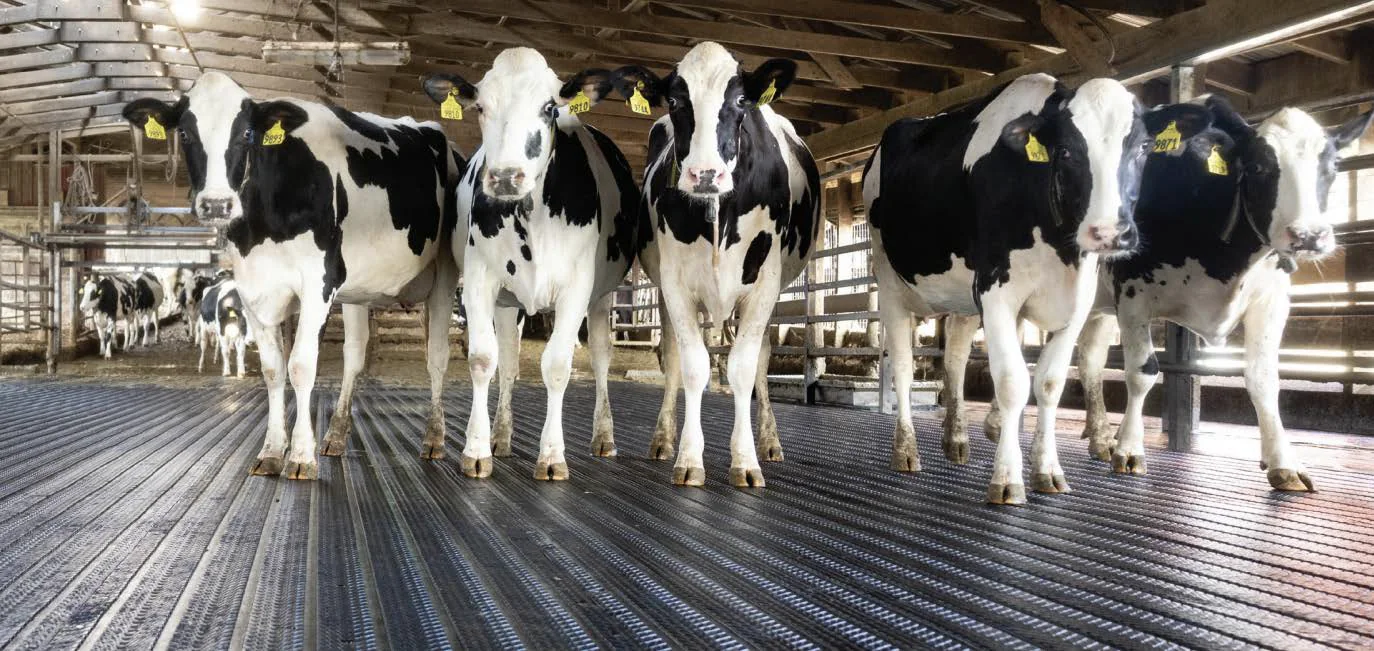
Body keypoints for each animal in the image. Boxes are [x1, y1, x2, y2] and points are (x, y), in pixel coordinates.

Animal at [122, 71, 464, 479]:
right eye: (186, 134)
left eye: (247, 134)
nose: (217, 204)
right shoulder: (253, 288)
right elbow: (273, 370)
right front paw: (272, 450)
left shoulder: (318, 284)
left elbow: (301, 365)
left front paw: (301, 455)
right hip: (357, 287)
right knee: (354, 353)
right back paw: (335, 435)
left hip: (444, 275)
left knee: (437, 354)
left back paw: (435, 438)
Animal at [421, 47, 638, 480]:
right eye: (481, 107)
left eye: (549, 107)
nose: (506, 177)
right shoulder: (479, 281)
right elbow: (483, 359)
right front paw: (476, 449)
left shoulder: (576, 289)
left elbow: (556, 365)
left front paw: (552, 456)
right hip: (496, 298)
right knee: (498, 359)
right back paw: (492, 437)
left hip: (602, 297)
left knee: (602, 357)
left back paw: (603, 437)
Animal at [609, 41, 822, 488]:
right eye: (674, 101)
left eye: (740, 100)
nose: (704, 174)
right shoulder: (674, 285)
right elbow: (692, 366)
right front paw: (689, 458)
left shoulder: (765, 286)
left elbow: (743, 369)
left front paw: (746, 461)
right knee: (671, 355)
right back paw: (663, 439)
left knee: (762, 358)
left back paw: (770, 443)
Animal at [863, 72, 1212, 504]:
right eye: (1066, 151)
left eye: (1144, 147)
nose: (1108, 232)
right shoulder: (996, 291)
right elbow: (1012, 381)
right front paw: (1007, 479)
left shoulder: (1077, 302)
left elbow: (1048, 383)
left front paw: (1047, 470)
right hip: (889, 281)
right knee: (904, 368)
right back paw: (906, 450)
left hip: (961, 299)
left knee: (955, 359)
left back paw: (956, 440)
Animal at [1067, 97, 1372, 491]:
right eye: (1258, 166)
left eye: (1332, 166)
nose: (1308, 235)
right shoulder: (1132, 293)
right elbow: (1142, 372)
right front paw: (1131, 450)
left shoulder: (1271, 302)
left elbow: (1264, 378)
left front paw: (1283, 462)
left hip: (1099, 306)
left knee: (1089, 360)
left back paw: (1101, 437)